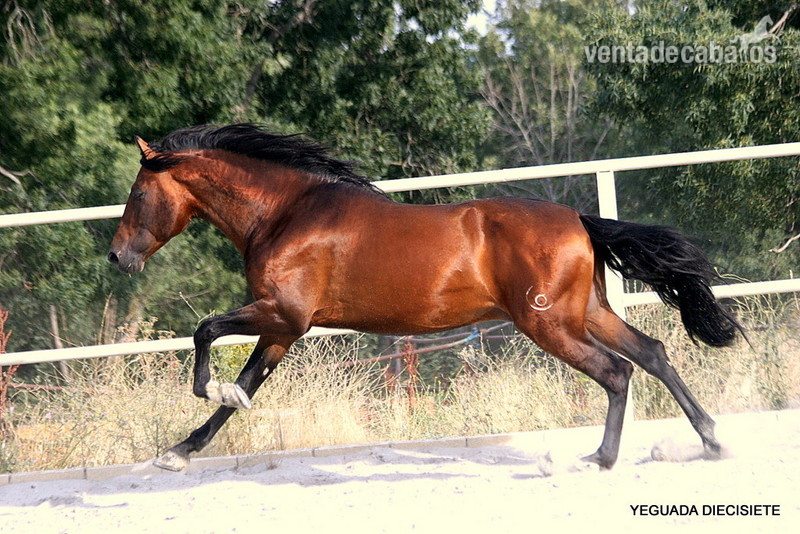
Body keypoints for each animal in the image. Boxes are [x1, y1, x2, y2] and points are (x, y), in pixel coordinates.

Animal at [108, 123, 742, 472]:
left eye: (138, 193)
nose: (117, 258)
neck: (286, 213)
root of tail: (579, 221)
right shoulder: (283, 327)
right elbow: (245, 386)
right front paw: (180, 450)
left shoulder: (284, 314)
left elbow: (206, 334)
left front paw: (204, 397)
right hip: (585, 314)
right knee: (653, 353)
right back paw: (710, 441)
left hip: (550, 325)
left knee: (616, 372)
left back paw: (601, 459)